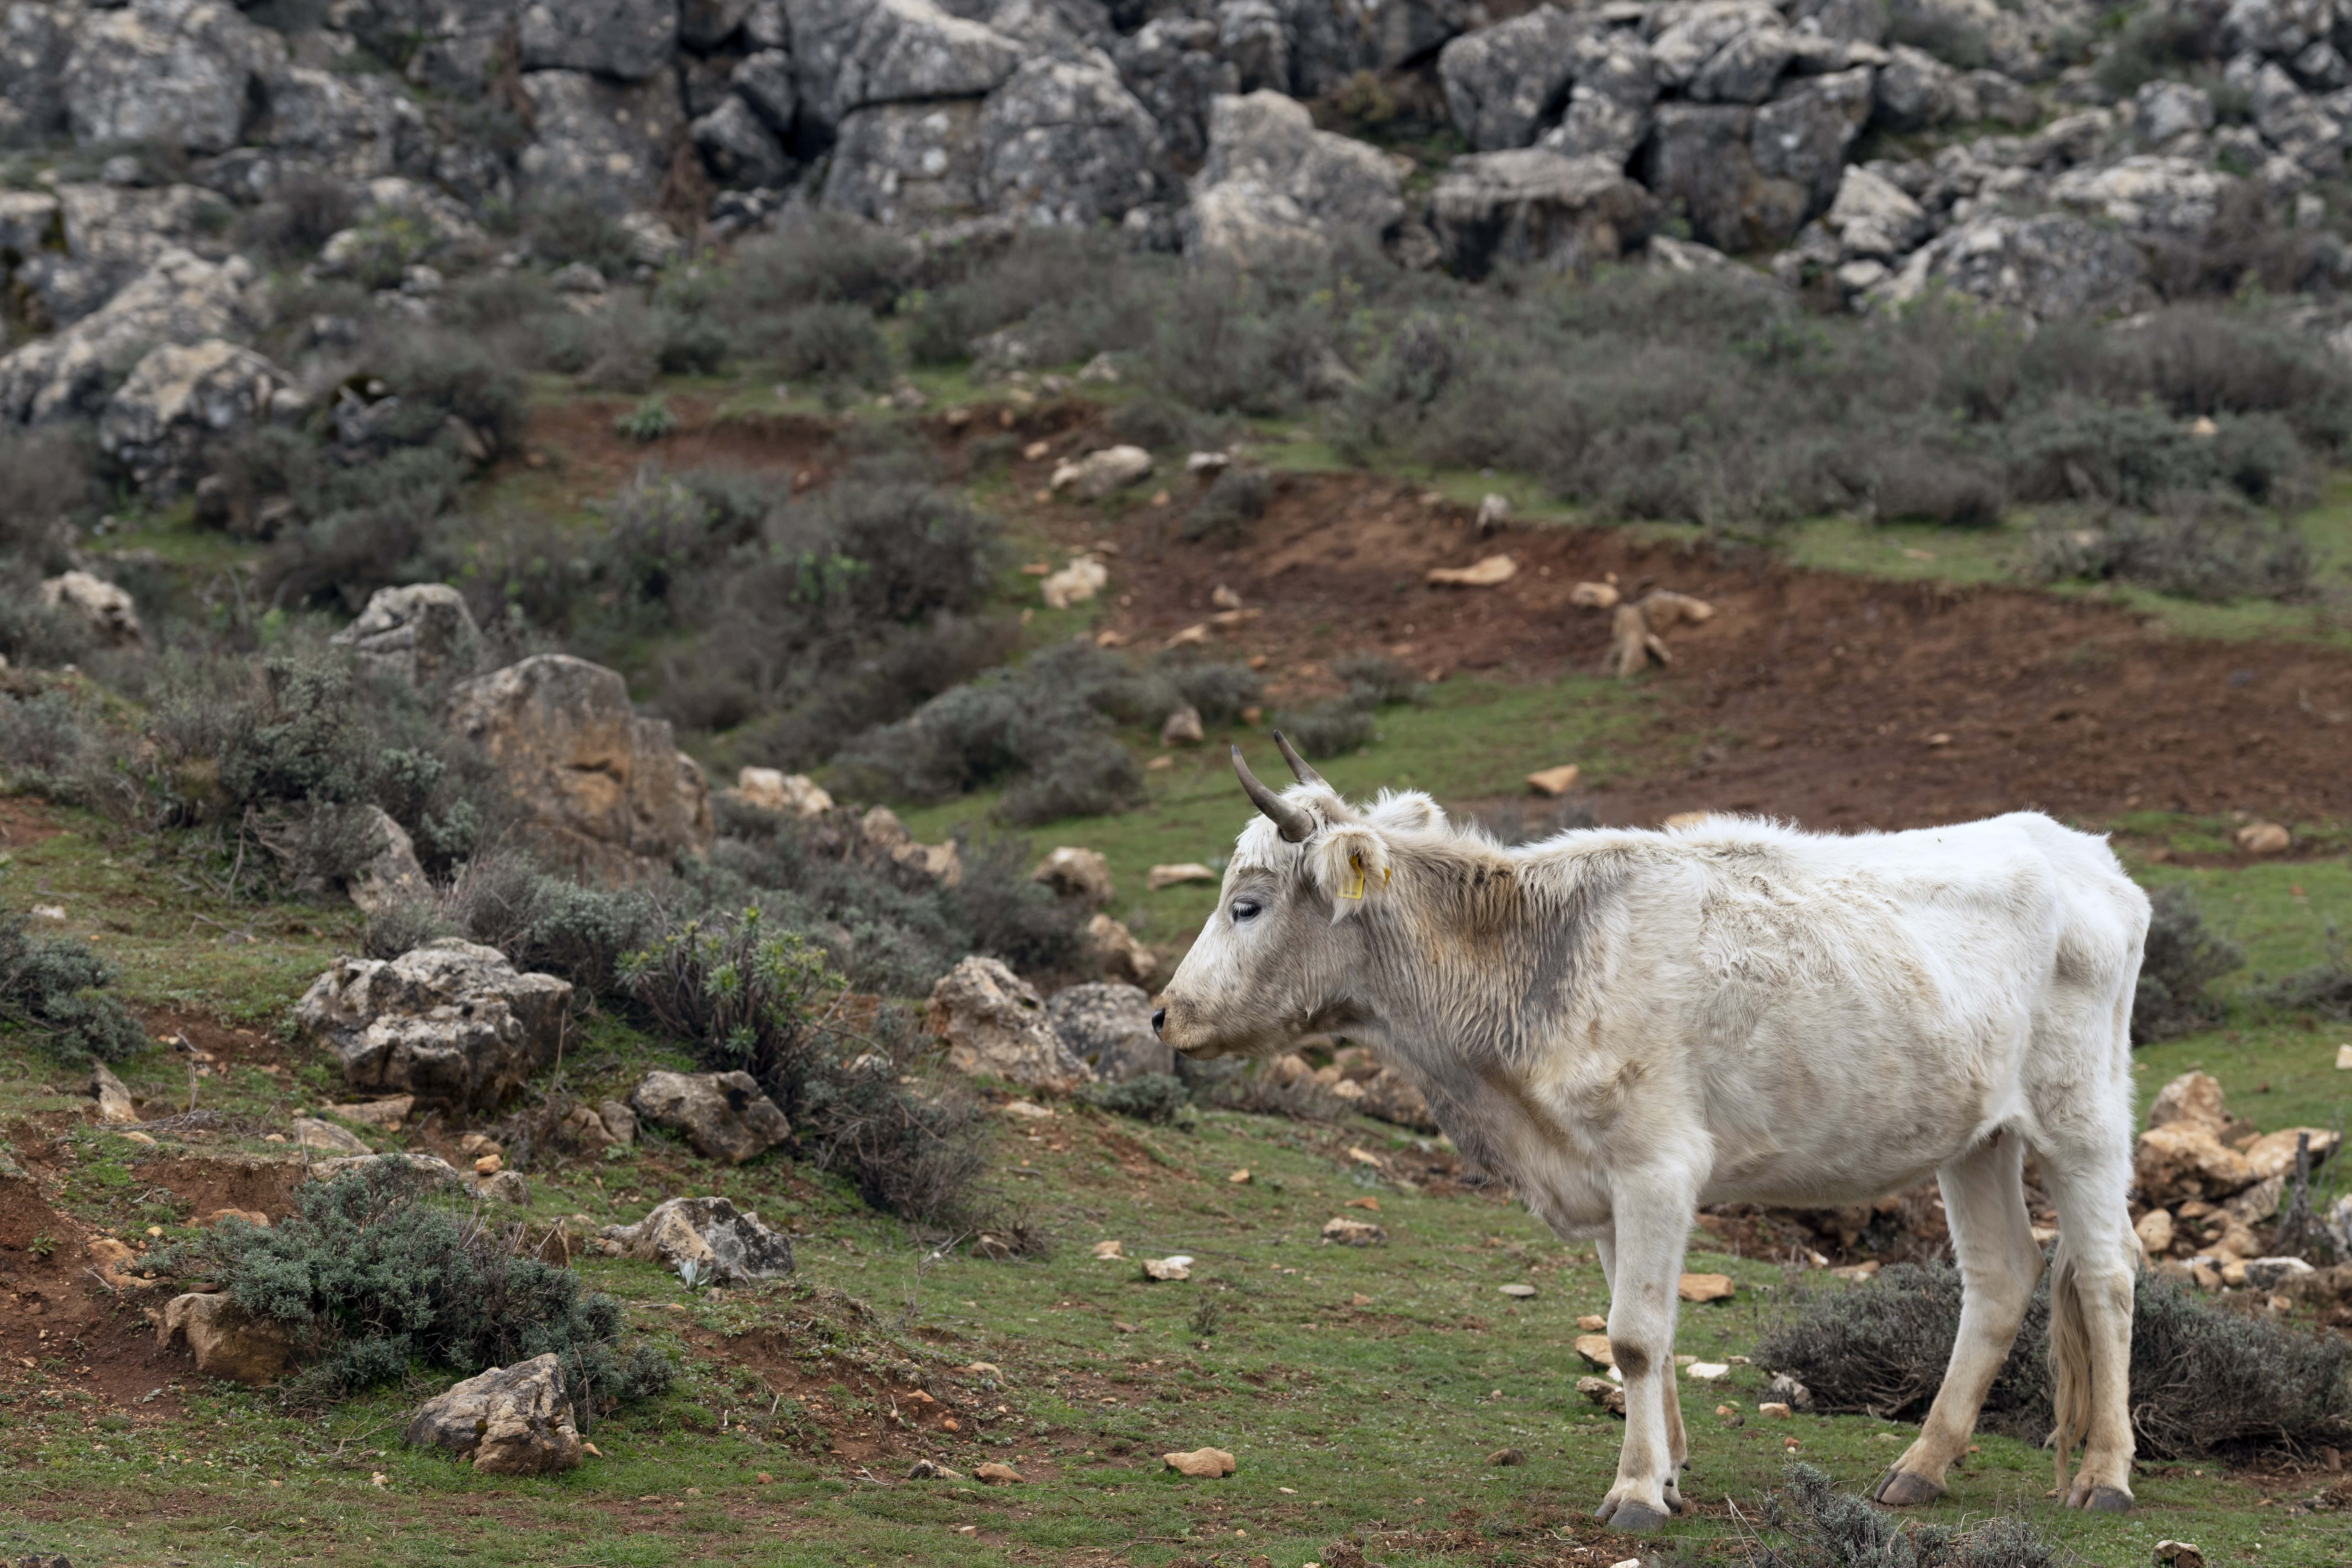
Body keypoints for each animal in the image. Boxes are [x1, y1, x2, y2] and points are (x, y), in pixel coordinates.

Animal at [1152, 738, 2154, 1533]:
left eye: (1246, 905)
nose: (1163, 1015)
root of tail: (2076, 848)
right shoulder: (1599, 1186)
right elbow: (1650, 1336)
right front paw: (1668, 1473)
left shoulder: (1655, 1165)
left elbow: (1633, 1336)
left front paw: (1634, 1491)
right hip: (1976, 1136)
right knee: (1999, 1277)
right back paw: (1920, 1467)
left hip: (2084, 1113)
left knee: (2105, 1276)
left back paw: (2105, 1474)